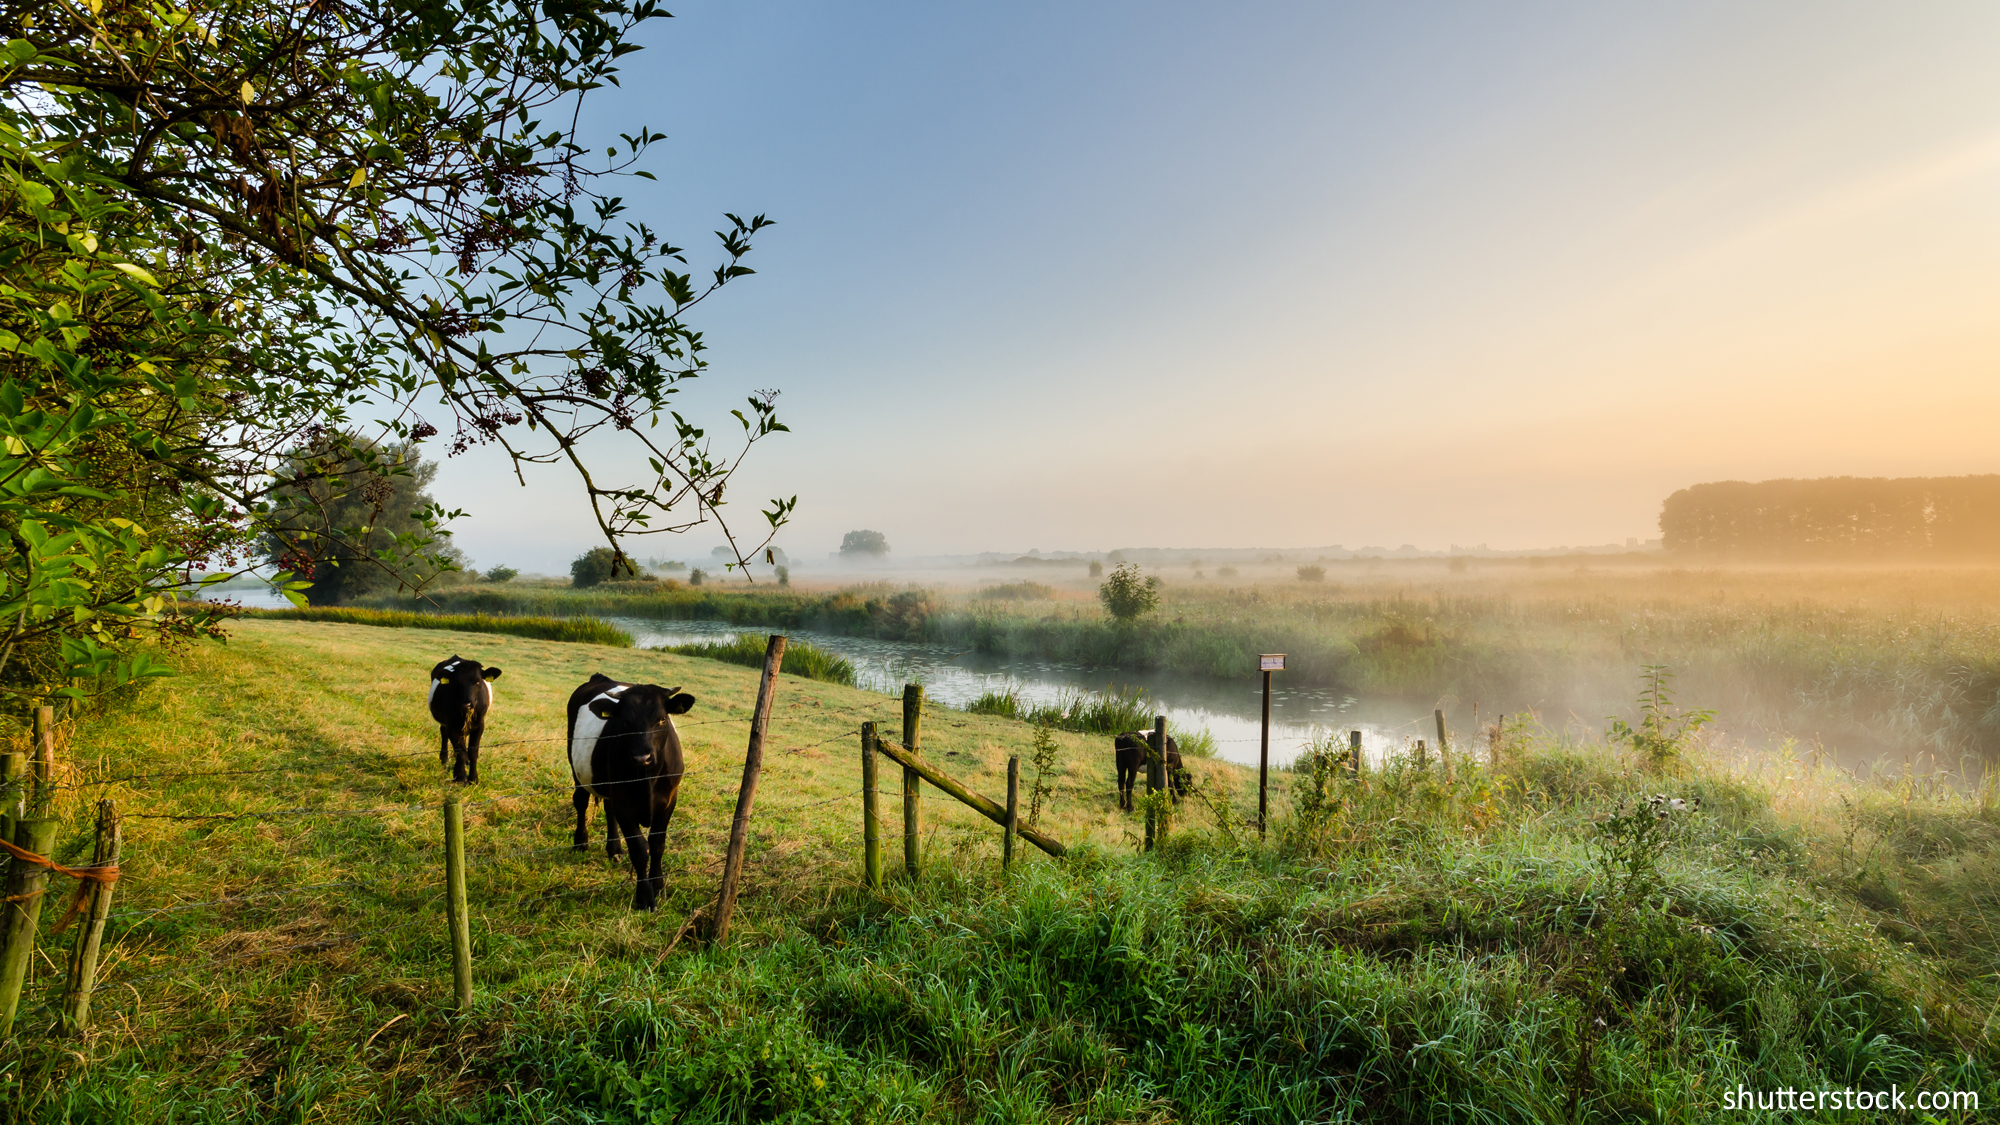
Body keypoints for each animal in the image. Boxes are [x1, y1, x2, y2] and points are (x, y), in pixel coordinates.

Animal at [428, 652, 504, 784]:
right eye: (455, 682)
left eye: (478, 681)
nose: (466, 704)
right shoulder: (451, 725)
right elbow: (461, 752)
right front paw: (460, 777)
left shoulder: (480, 725)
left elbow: (473, 751)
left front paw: (473, 779)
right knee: (444, 734)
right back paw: (445, 760)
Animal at [564, 668, 696, 904]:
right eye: (624, 722)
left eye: (662, 719)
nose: (642, 757)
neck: (647, 780)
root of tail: (599, 677)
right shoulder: (624, 803)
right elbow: (640, 849)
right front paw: (644, 897)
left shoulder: (669, 800)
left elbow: (657, 844)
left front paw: (658, 885)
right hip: (576, 768)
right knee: (580, 801)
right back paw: (580, 842)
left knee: (608, 809)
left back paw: (614, 848)